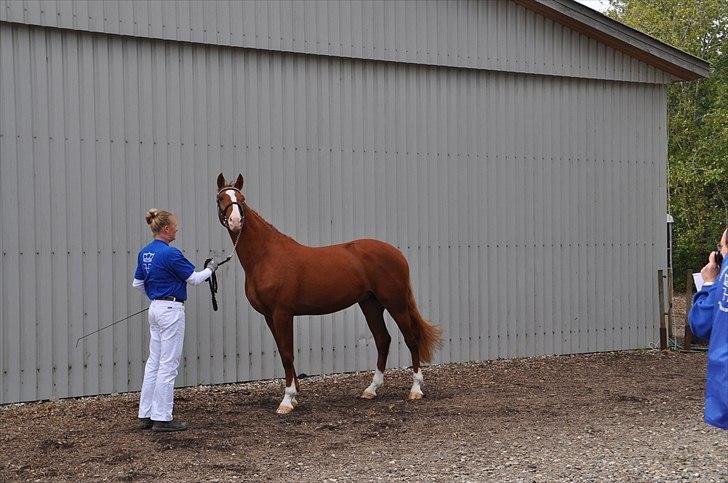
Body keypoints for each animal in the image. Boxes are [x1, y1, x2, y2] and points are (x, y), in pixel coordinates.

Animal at [216, 174, 444, 416]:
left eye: (242, 199)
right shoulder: (270, 316)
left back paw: (416, 389)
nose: (235, 221)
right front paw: (294, 396)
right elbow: (283, 352)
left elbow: (287, 354)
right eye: (221, 198)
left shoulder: (282, 313)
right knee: (383, 340)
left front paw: (287, 400)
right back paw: (371, 389)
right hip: (371, 304)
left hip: (395, 303)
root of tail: (397, 253)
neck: (266, 257)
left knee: (411, 338)